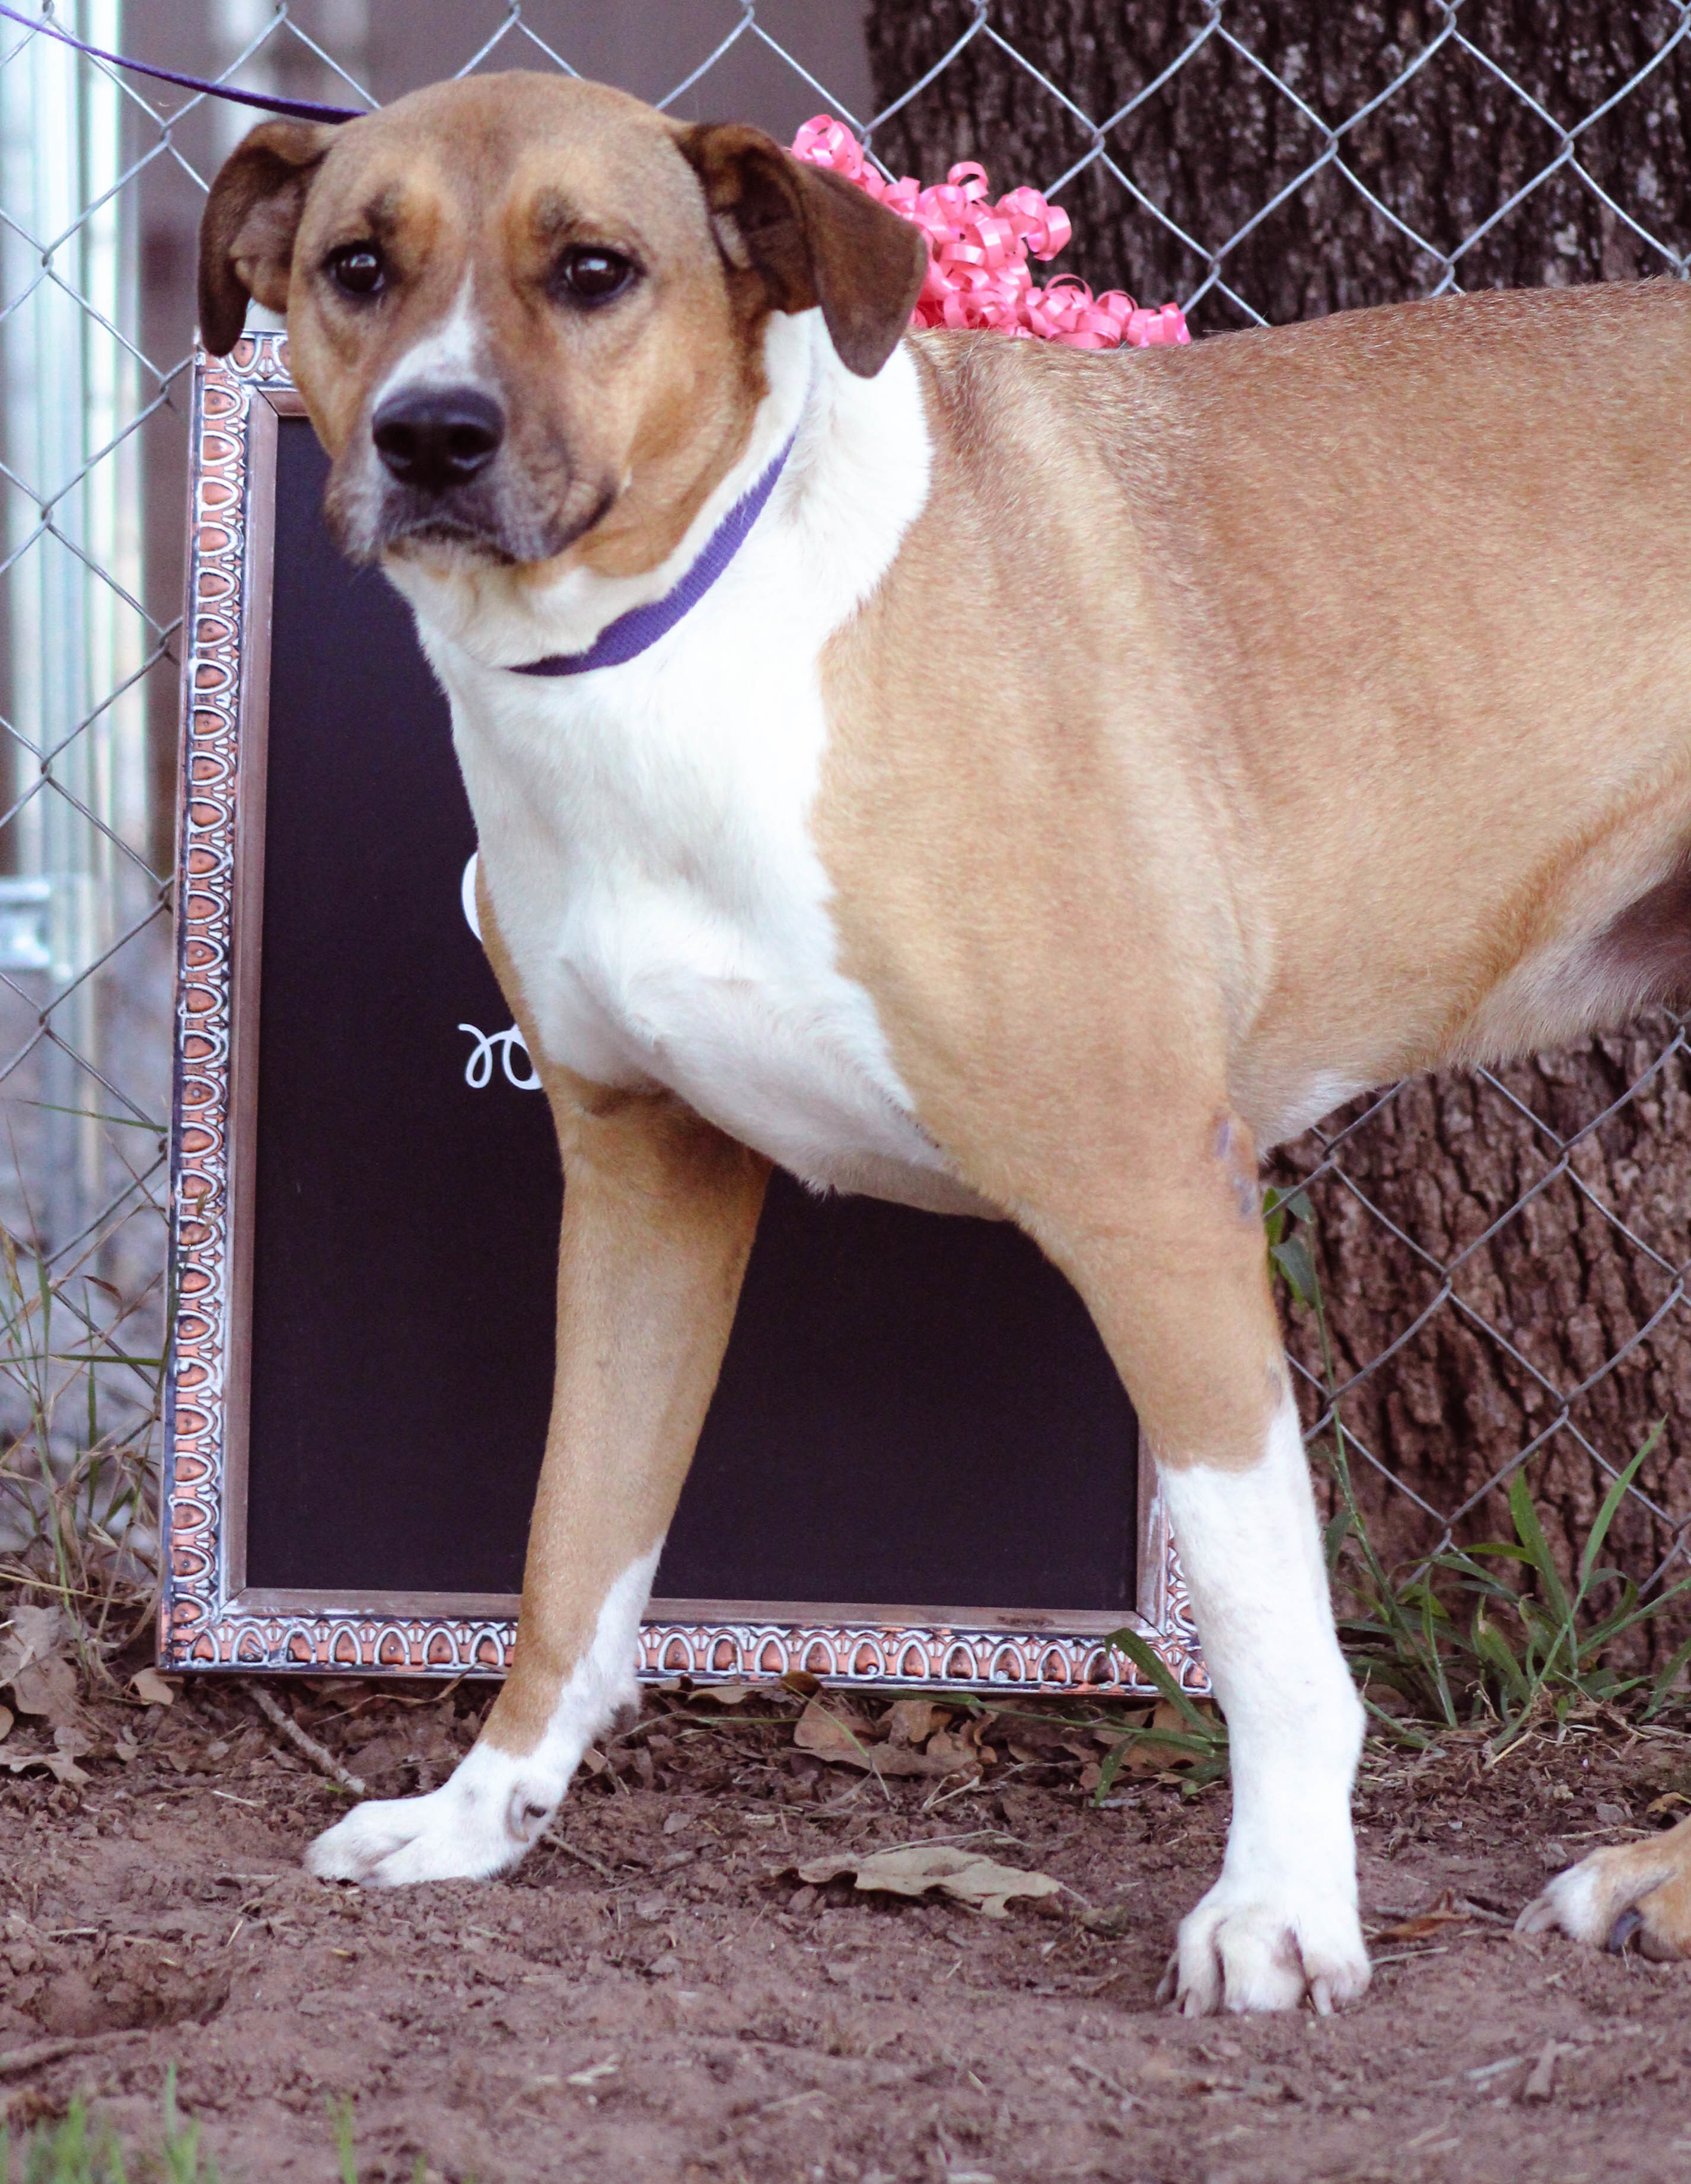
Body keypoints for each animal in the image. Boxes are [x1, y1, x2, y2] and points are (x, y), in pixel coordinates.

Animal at [195, 68, 1691, 2009]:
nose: (428, 436)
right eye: (358, 267)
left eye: (593, 269)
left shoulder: (1148, 1196)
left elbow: (1265, 1619)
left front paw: (1281, 1907)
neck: (673, 654)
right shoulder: (638, 1181)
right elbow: (572, 1538)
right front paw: (481, 1812)